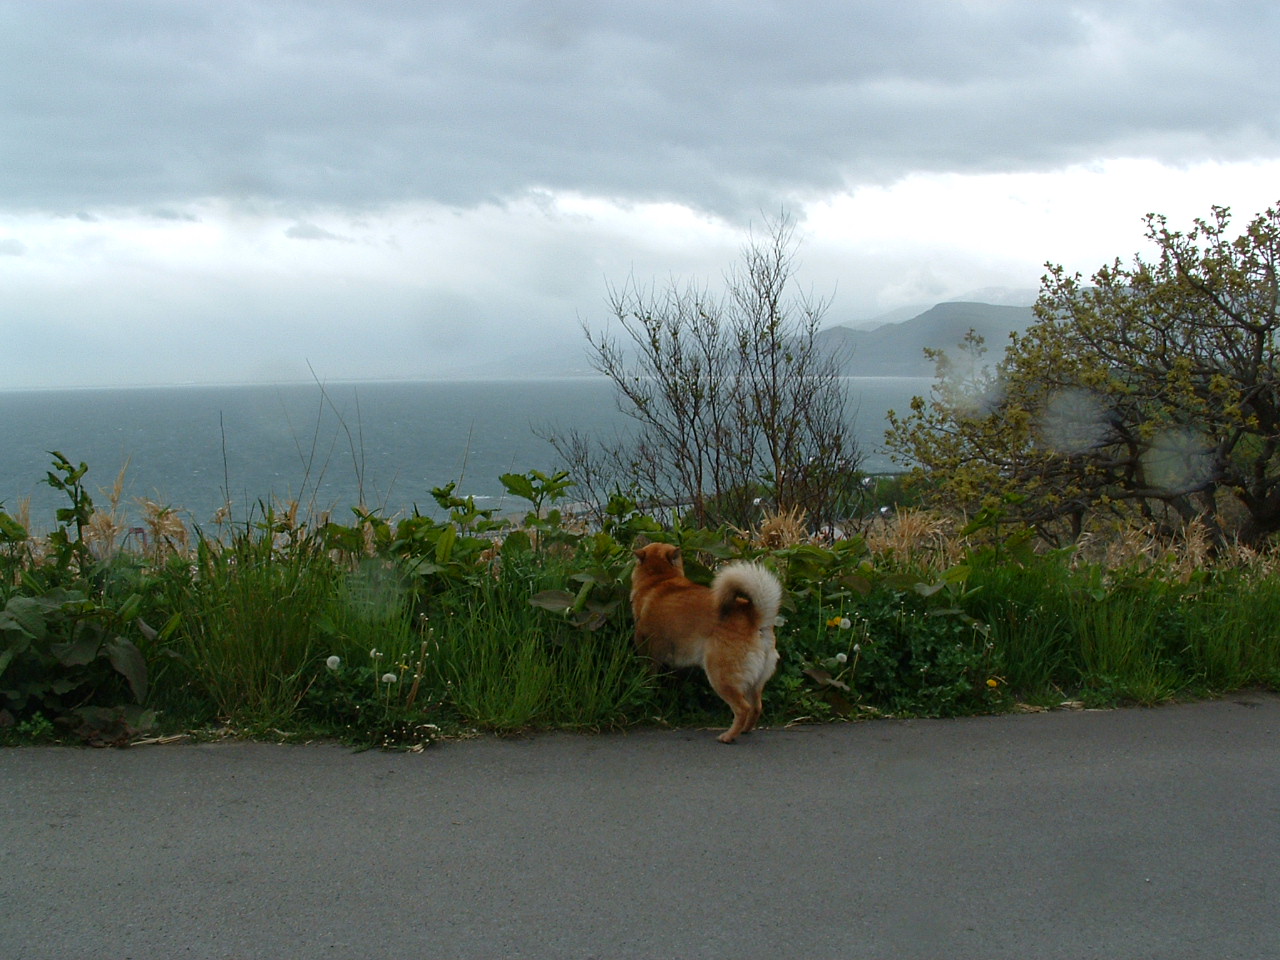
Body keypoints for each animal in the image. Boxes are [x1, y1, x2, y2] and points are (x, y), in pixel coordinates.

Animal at [630, 542, 783, 743]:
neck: (659, 578)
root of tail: (754, 616)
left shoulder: (648, 654)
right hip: (755, 682)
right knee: (757, 707)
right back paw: (744, 730)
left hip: (720, 676)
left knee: (743, 708)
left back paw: (728, 736)